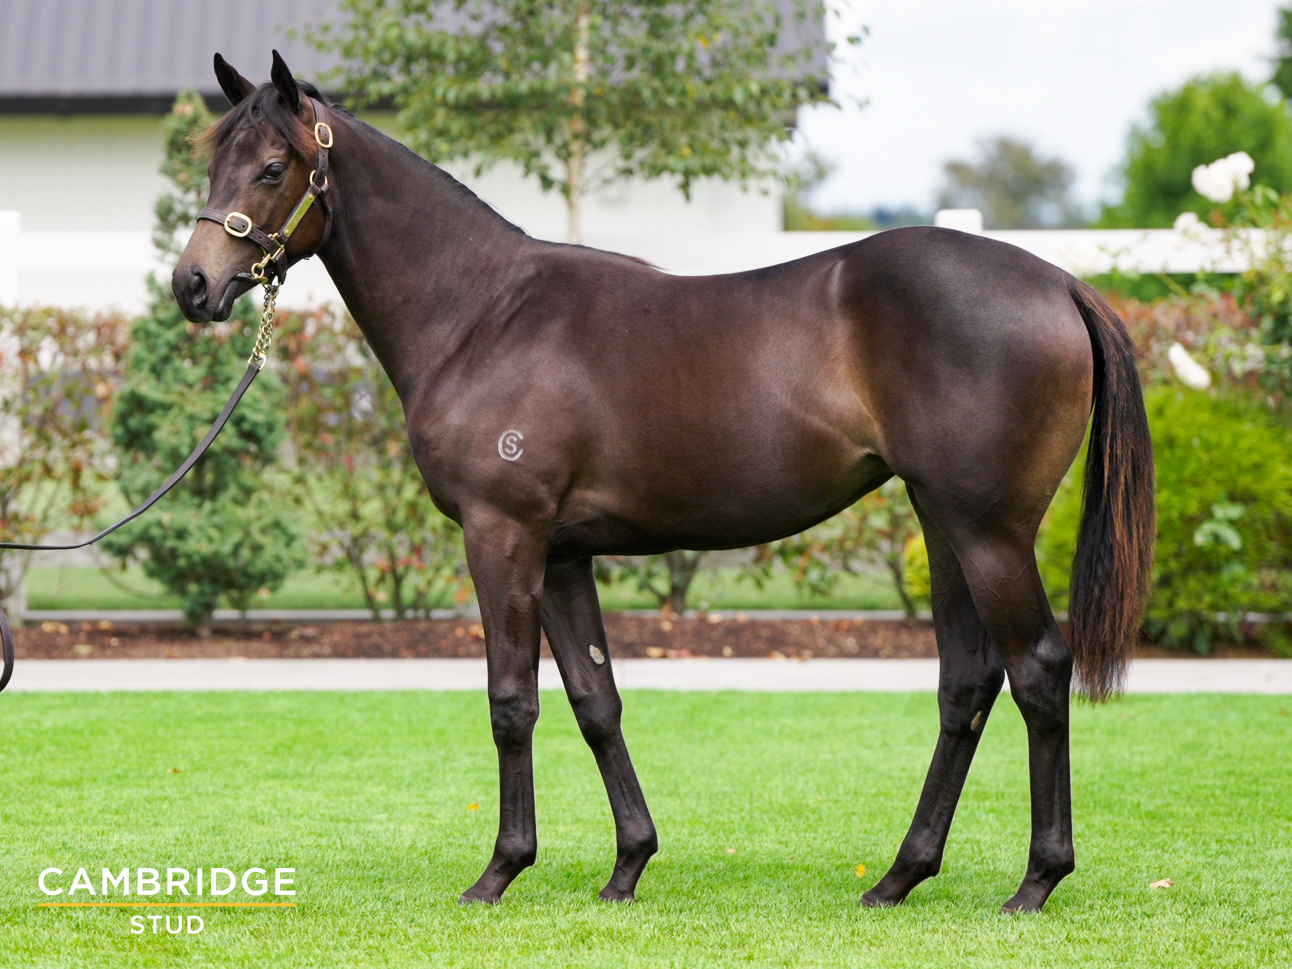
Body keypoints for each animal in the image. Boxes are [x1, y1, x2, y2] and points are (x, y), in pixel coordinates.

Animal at [173, 51, 1154, 913]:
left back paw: (1035, 882)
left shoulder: (503, 534)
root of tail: (1060, 283)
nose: (193, 284)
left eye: (271, 167)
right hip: (942, 523)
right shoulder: (562, 553)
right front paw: (627, 865)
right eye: (211, 158)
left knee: (1038, 670)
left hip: (988, 530)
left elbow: (511, 701)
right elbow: (595, 701)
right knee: (966, 683)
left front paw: (499, 871)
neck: (482, 312)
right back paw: (898, 877)